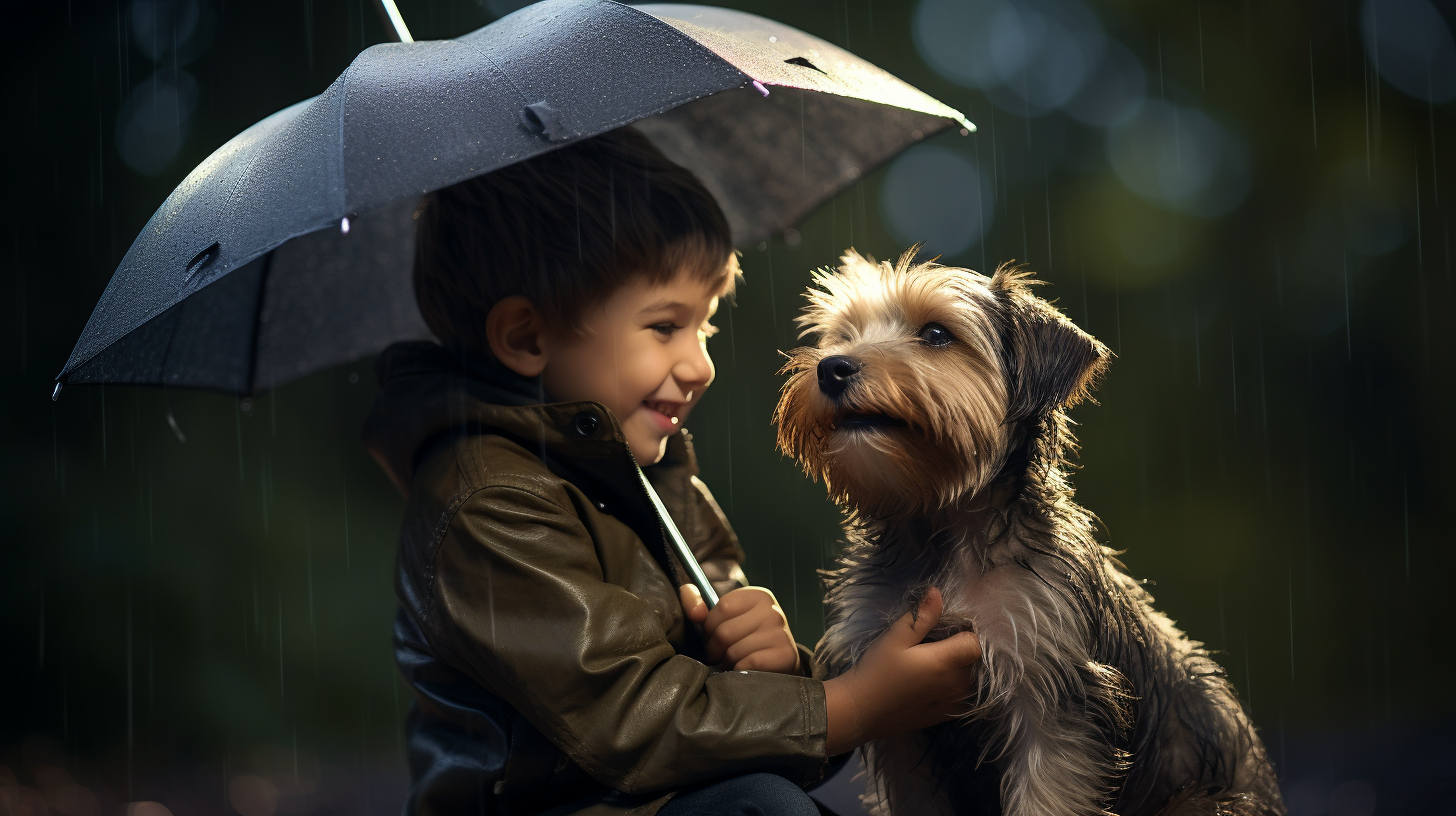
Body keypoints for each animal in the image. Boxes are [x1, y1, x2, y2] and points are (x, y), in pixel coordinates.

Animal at [780, 250, 1281, 816]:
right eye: (844, 335)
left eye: (936, 334)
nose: (831, 367)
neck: (944, 532)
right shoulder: (900, 728)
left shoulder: (1054, 704)